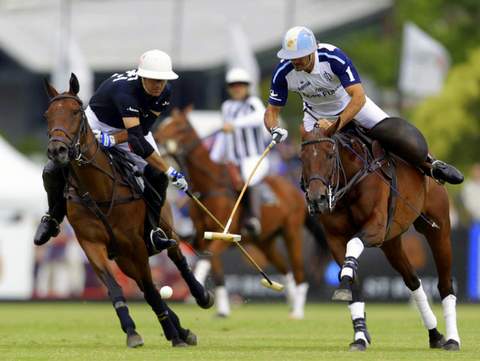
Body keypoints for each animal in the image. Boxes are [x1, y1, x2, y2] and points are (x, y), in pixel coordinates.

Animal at [42, 72, 212, 346]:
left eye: (76, 112)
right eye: (48, 114)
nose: (57, 150)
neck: (99, 189)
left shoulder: (135, 243)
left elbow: (153, 290)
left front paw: (172, 331)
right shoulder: (91, 243)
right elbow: (116, 287)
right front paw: (133, 331)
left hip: (161, 230)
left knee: (177, 258)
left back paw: (200, 298)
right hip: (122, 257)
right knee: (143, 285)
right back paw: (179, 328)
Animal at [156, 107, 310, 318]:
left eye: (179, 126)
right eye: (164, 124)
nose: (156, 140)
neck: (209, 186)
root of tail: (293, 190)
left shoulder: (222, 238)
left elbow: (207, 258)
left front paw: (198, 287)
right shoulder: (205, 236)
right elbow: (217, 272)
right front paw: (221, 310)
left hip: (291, 231)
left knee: (298, 269)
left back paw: (299, 310)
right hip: (265, 241)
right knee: (285, 269)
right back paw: (288, 299)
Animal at [300, 119, 462, 350]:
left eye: (330, 155)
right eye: (302, 158)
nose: (316, 198)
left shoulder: (375, 226)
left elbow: (353, 245)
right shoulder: (335, 238)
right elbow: (353, 285)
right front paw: (360, 336)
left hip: (438, 230)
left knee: (445, 283)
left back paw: (453, 339)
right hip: (391, 242)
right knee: (413, 280)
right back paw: (435, 335)